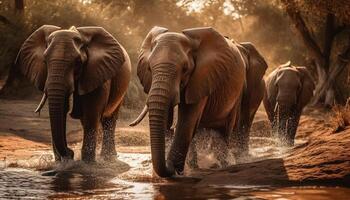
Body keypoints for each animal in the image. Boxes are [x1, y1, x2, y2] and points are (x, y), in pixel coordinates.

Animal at [14, 25, 131, 164]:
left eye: (78, 62)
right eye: (45, 60)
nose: (70, 153)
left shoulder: (98, 73)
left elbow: (92, 113)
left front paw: (87, 164)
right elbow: (63, 109)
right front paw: (61, 163)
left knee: (109, 119)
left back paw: (108, 158)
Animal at [130, 26, 266, 177]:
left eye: (185, 69)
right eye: (149, 68)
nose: (169, 166)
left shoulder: (202, 78)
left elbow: (187, 121)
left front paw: (177, 171)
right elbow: (169, 119)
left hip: (238, 92)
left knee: (227, 128)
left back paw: (224, 163)